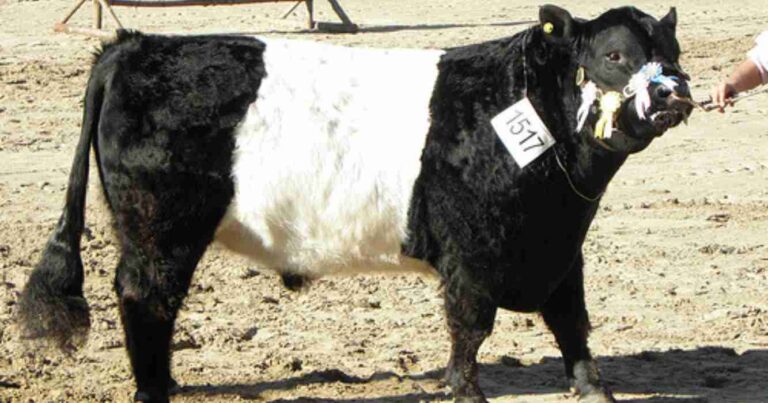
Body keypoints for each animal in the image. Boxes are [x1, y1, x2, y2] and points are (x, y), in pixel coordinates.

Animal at [18, 3, 692, 403]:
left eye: (672, 53)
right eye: (613, 55)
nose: (675, 93)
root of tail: (134, 46)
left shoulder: (560, 252)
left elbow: (573, 323)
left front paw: (594, 391)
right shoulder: (472, 257)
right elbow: (470, 330)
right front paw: (466, 392)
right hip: (161, 232)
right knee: (145, 300)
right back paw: (155, 389)